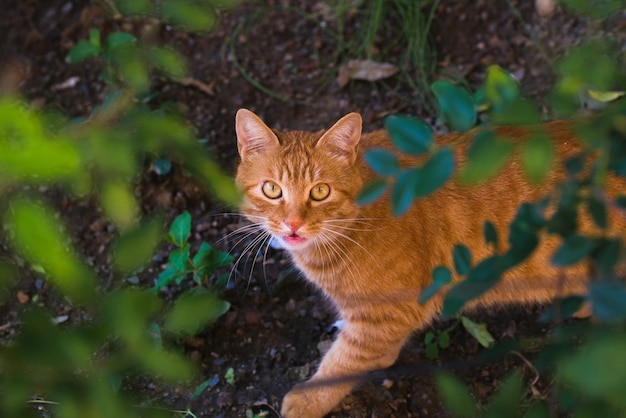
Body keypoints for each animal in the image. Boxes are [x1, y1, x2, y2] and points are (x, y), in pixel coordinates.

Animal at [233, 108, 620, 418]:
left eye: (320, 192)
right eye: (271, 190)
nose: (292, 224)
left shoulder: (386, 314)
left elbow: (343, 362)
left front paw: (307, 401)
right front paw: (382, 358)